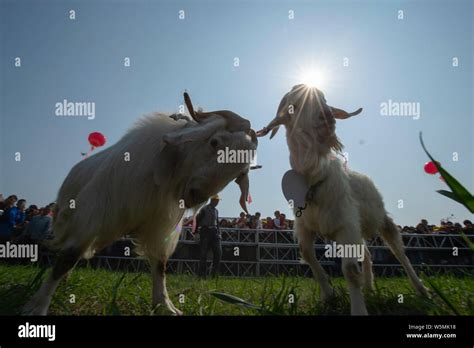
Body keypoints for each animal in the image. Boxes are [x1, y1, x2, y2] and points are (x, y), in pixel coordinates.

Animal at [24, 104, 258, 316]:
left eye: (239, 173)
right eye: (214, 142)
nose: (196, 195)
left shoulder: (161, 226)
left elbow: (160, 264)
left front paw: (165, 305)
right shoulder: (92, 213)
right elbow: (67, 257)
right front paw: (37, 307)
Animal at [260, 85, 430, 316]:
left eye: (324, 99)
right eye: (293, 105)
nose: (327, 116)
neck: (314, 176)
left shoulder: (345, 225)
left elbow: (349, 269)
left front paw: (358, 309)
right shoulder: (305, 226)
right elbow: (308, 256)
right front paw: (329, 296)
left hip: (379, 217)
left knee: (398, 252)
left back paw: (421, 290)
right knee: (366, 253)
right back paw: (369, 288)